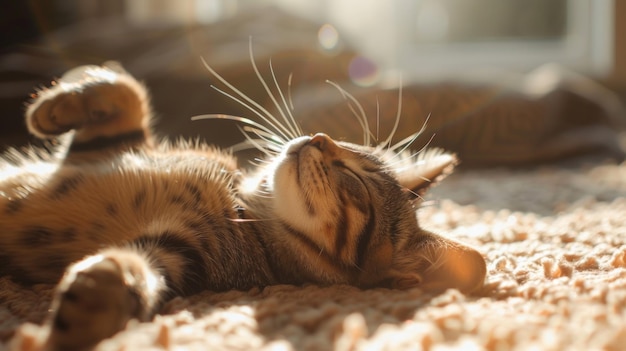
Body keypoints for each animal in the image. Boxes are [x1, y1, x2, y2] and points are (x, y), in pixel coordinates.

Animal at [0, 62, 486, 350]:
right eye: (346, 144)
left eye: (353, 182)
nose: (319, 138)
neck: (240, 198)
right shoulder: (103, 149)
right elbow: (128, 89)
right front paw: (57, 102)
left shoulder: (184, 252)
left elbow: (135, 266)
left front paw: (89, 306)